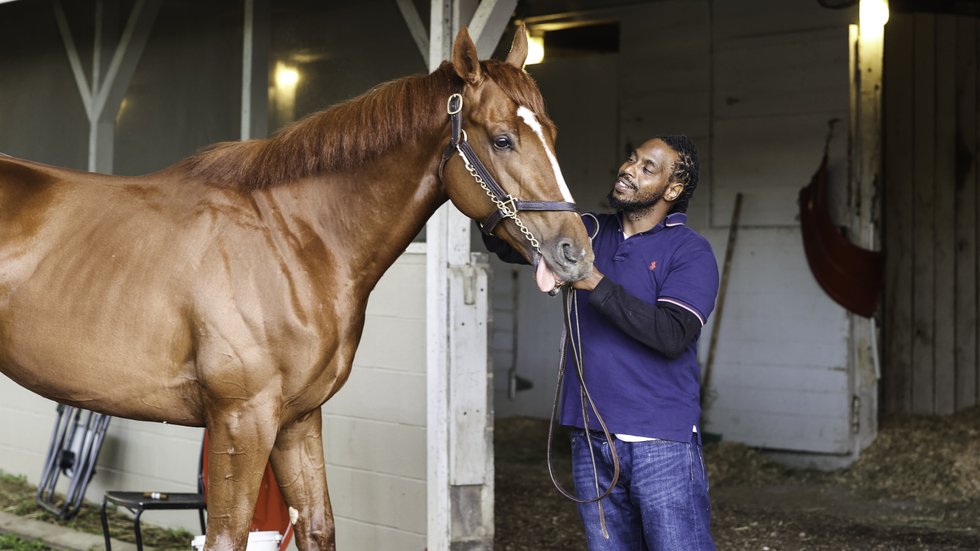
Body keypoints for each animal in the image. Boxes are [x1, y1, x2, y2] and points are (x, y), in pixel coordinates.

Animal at [0, 25, 593, 551]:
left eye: (553, 133)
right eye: (502, 139)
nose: (577, 255)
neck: (291, 240)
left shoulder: (297, 421)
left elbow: (317, 527)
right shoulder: (241, 422)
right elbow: (227, 537)